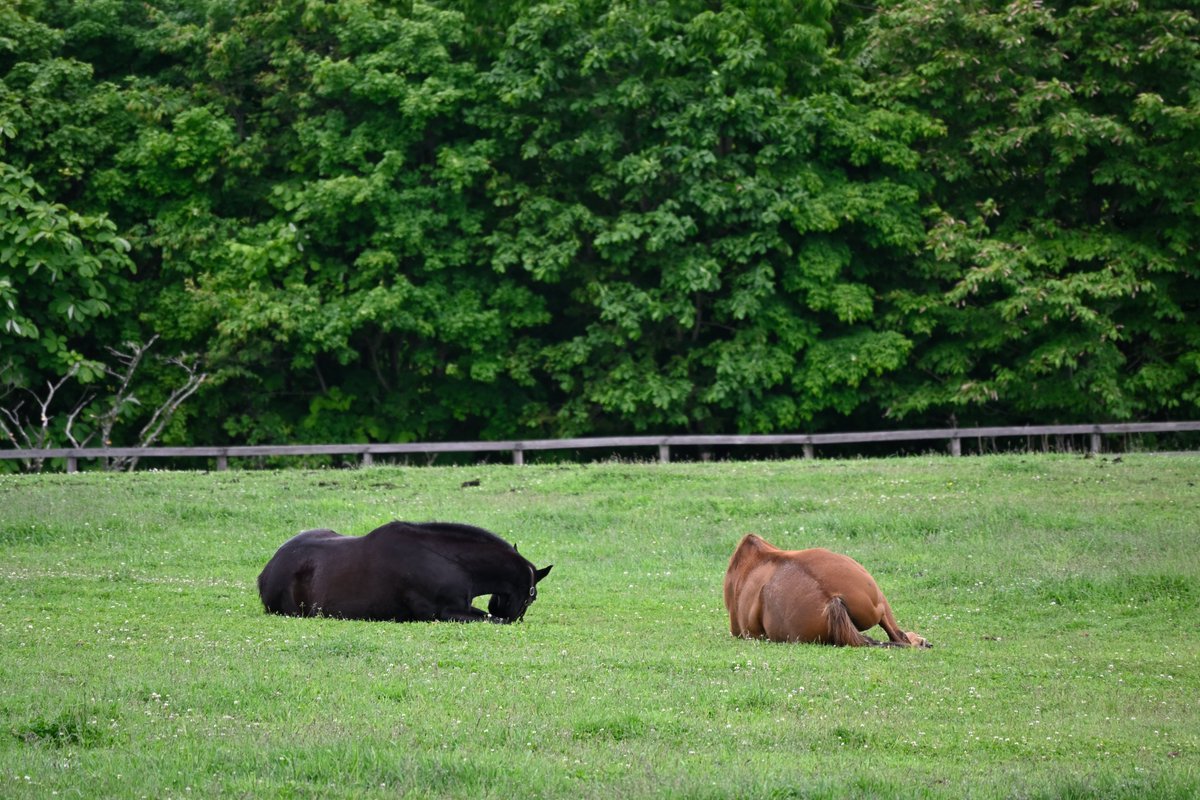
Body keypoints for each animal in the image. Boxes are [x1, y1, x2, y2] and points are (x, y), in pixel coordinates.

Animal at [258, 520, 552, 623]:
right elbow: (496, 620)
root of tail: (269, 569)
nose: (519, 619)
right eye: (532, 596)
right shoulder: (443, 614)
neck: (452, 563)